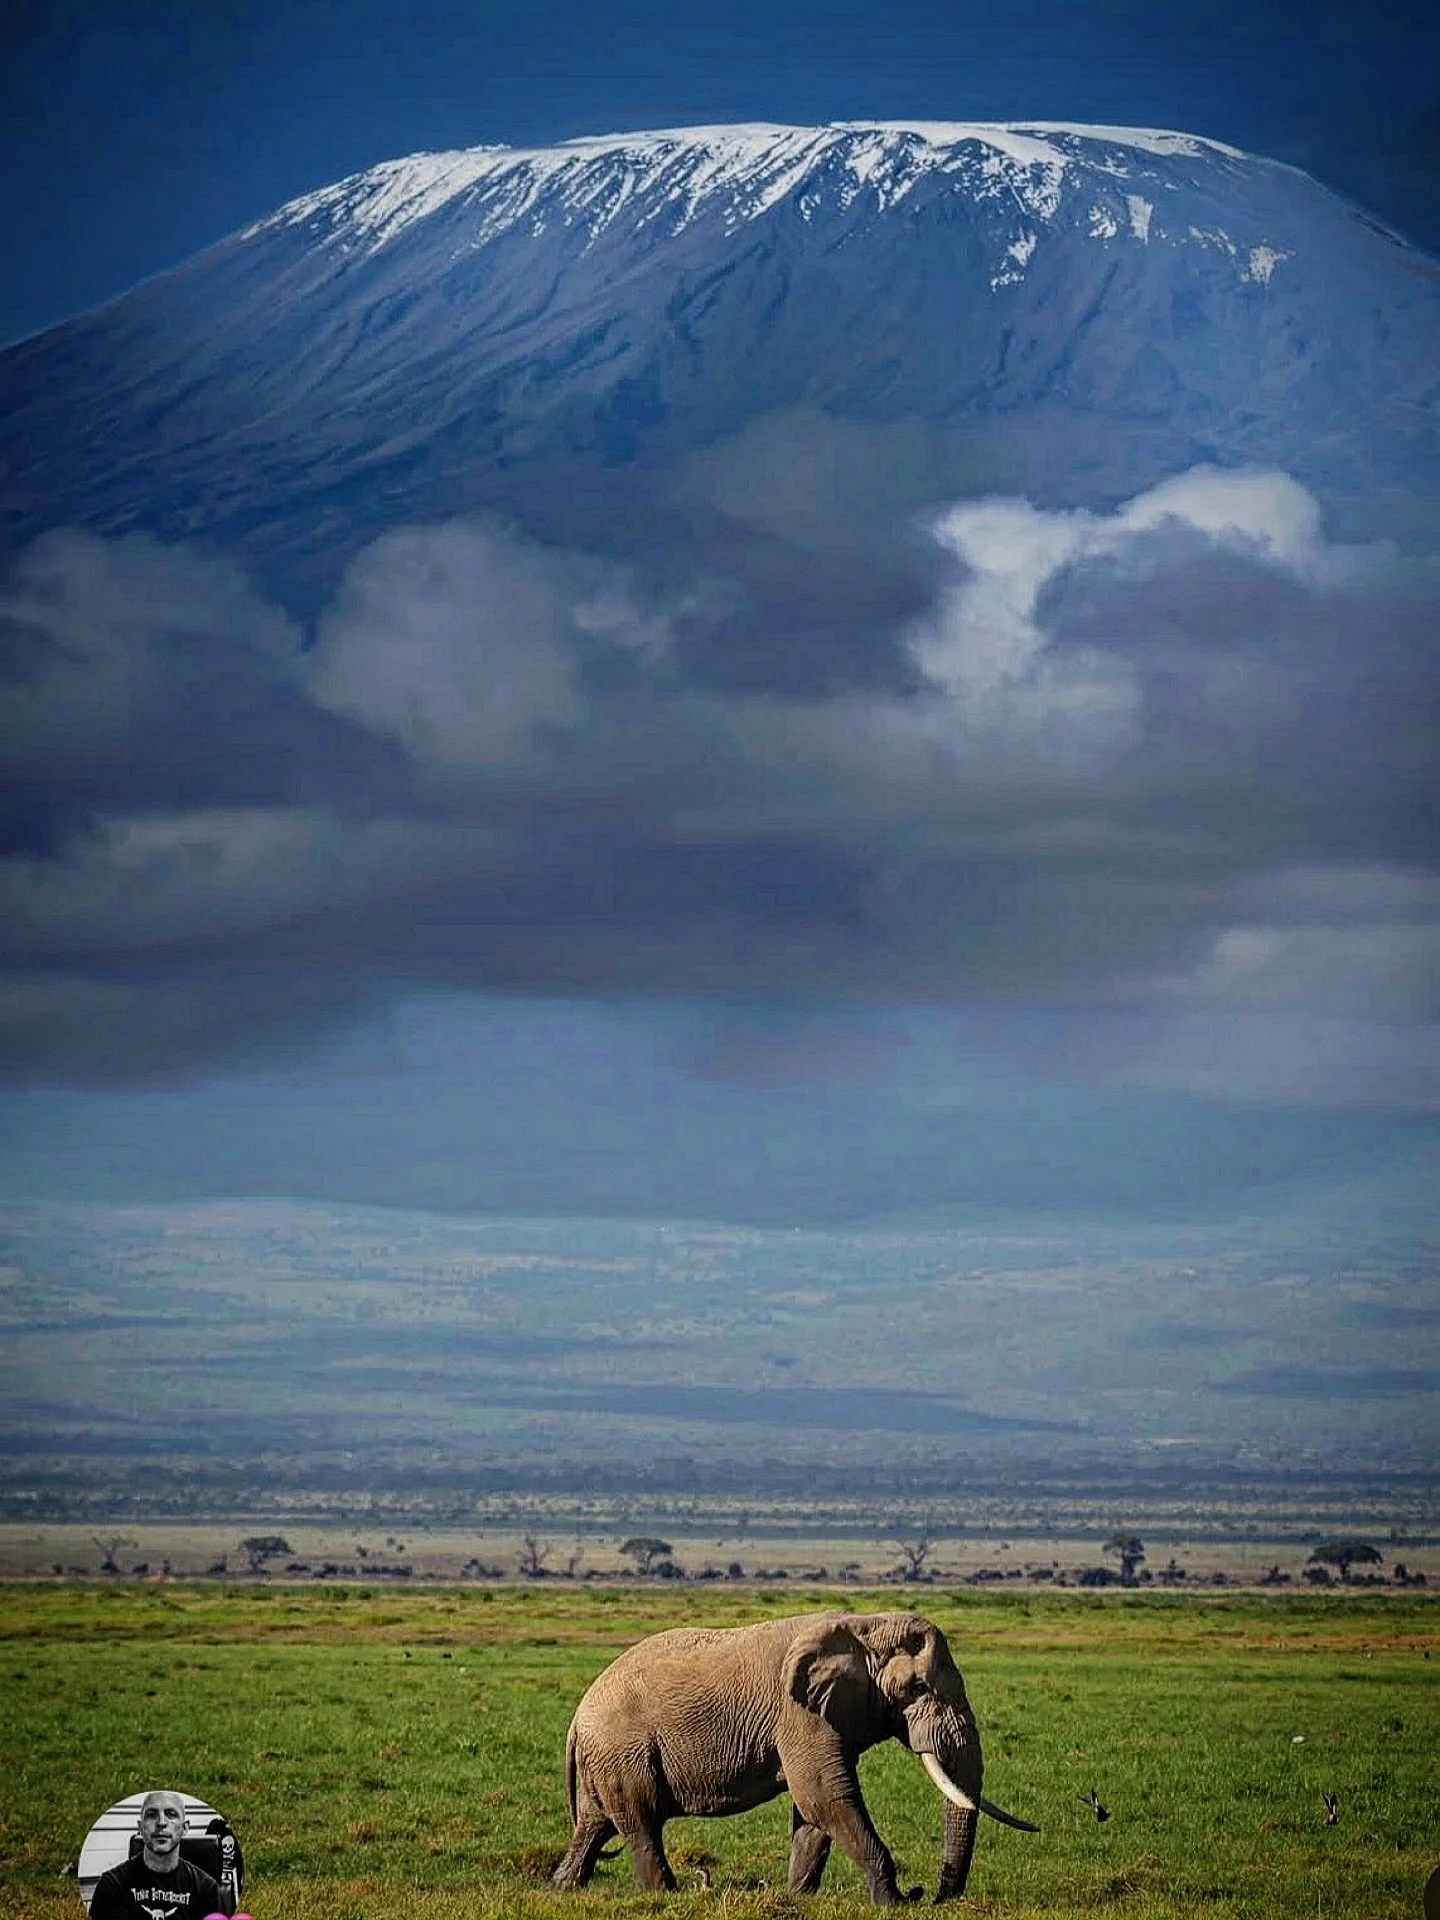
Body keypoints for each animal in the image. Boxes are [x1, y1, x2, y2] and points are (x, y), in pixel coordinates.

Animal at [550, 1609, 1037, 1905]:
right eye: (917, 1688)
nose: (931, 1895)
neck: (864, 1625)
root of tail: (576, 1719)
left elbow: (814, 1810)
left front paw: (799, 1898)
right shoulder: (800, 1713)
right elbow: (826, 1796)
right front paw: (893, 1903)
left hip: (607, 1760)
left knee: (596, 1826)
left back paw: (562, 1890)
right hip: (623, 1753)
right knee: (642, 1825)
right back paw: (669, 1897)